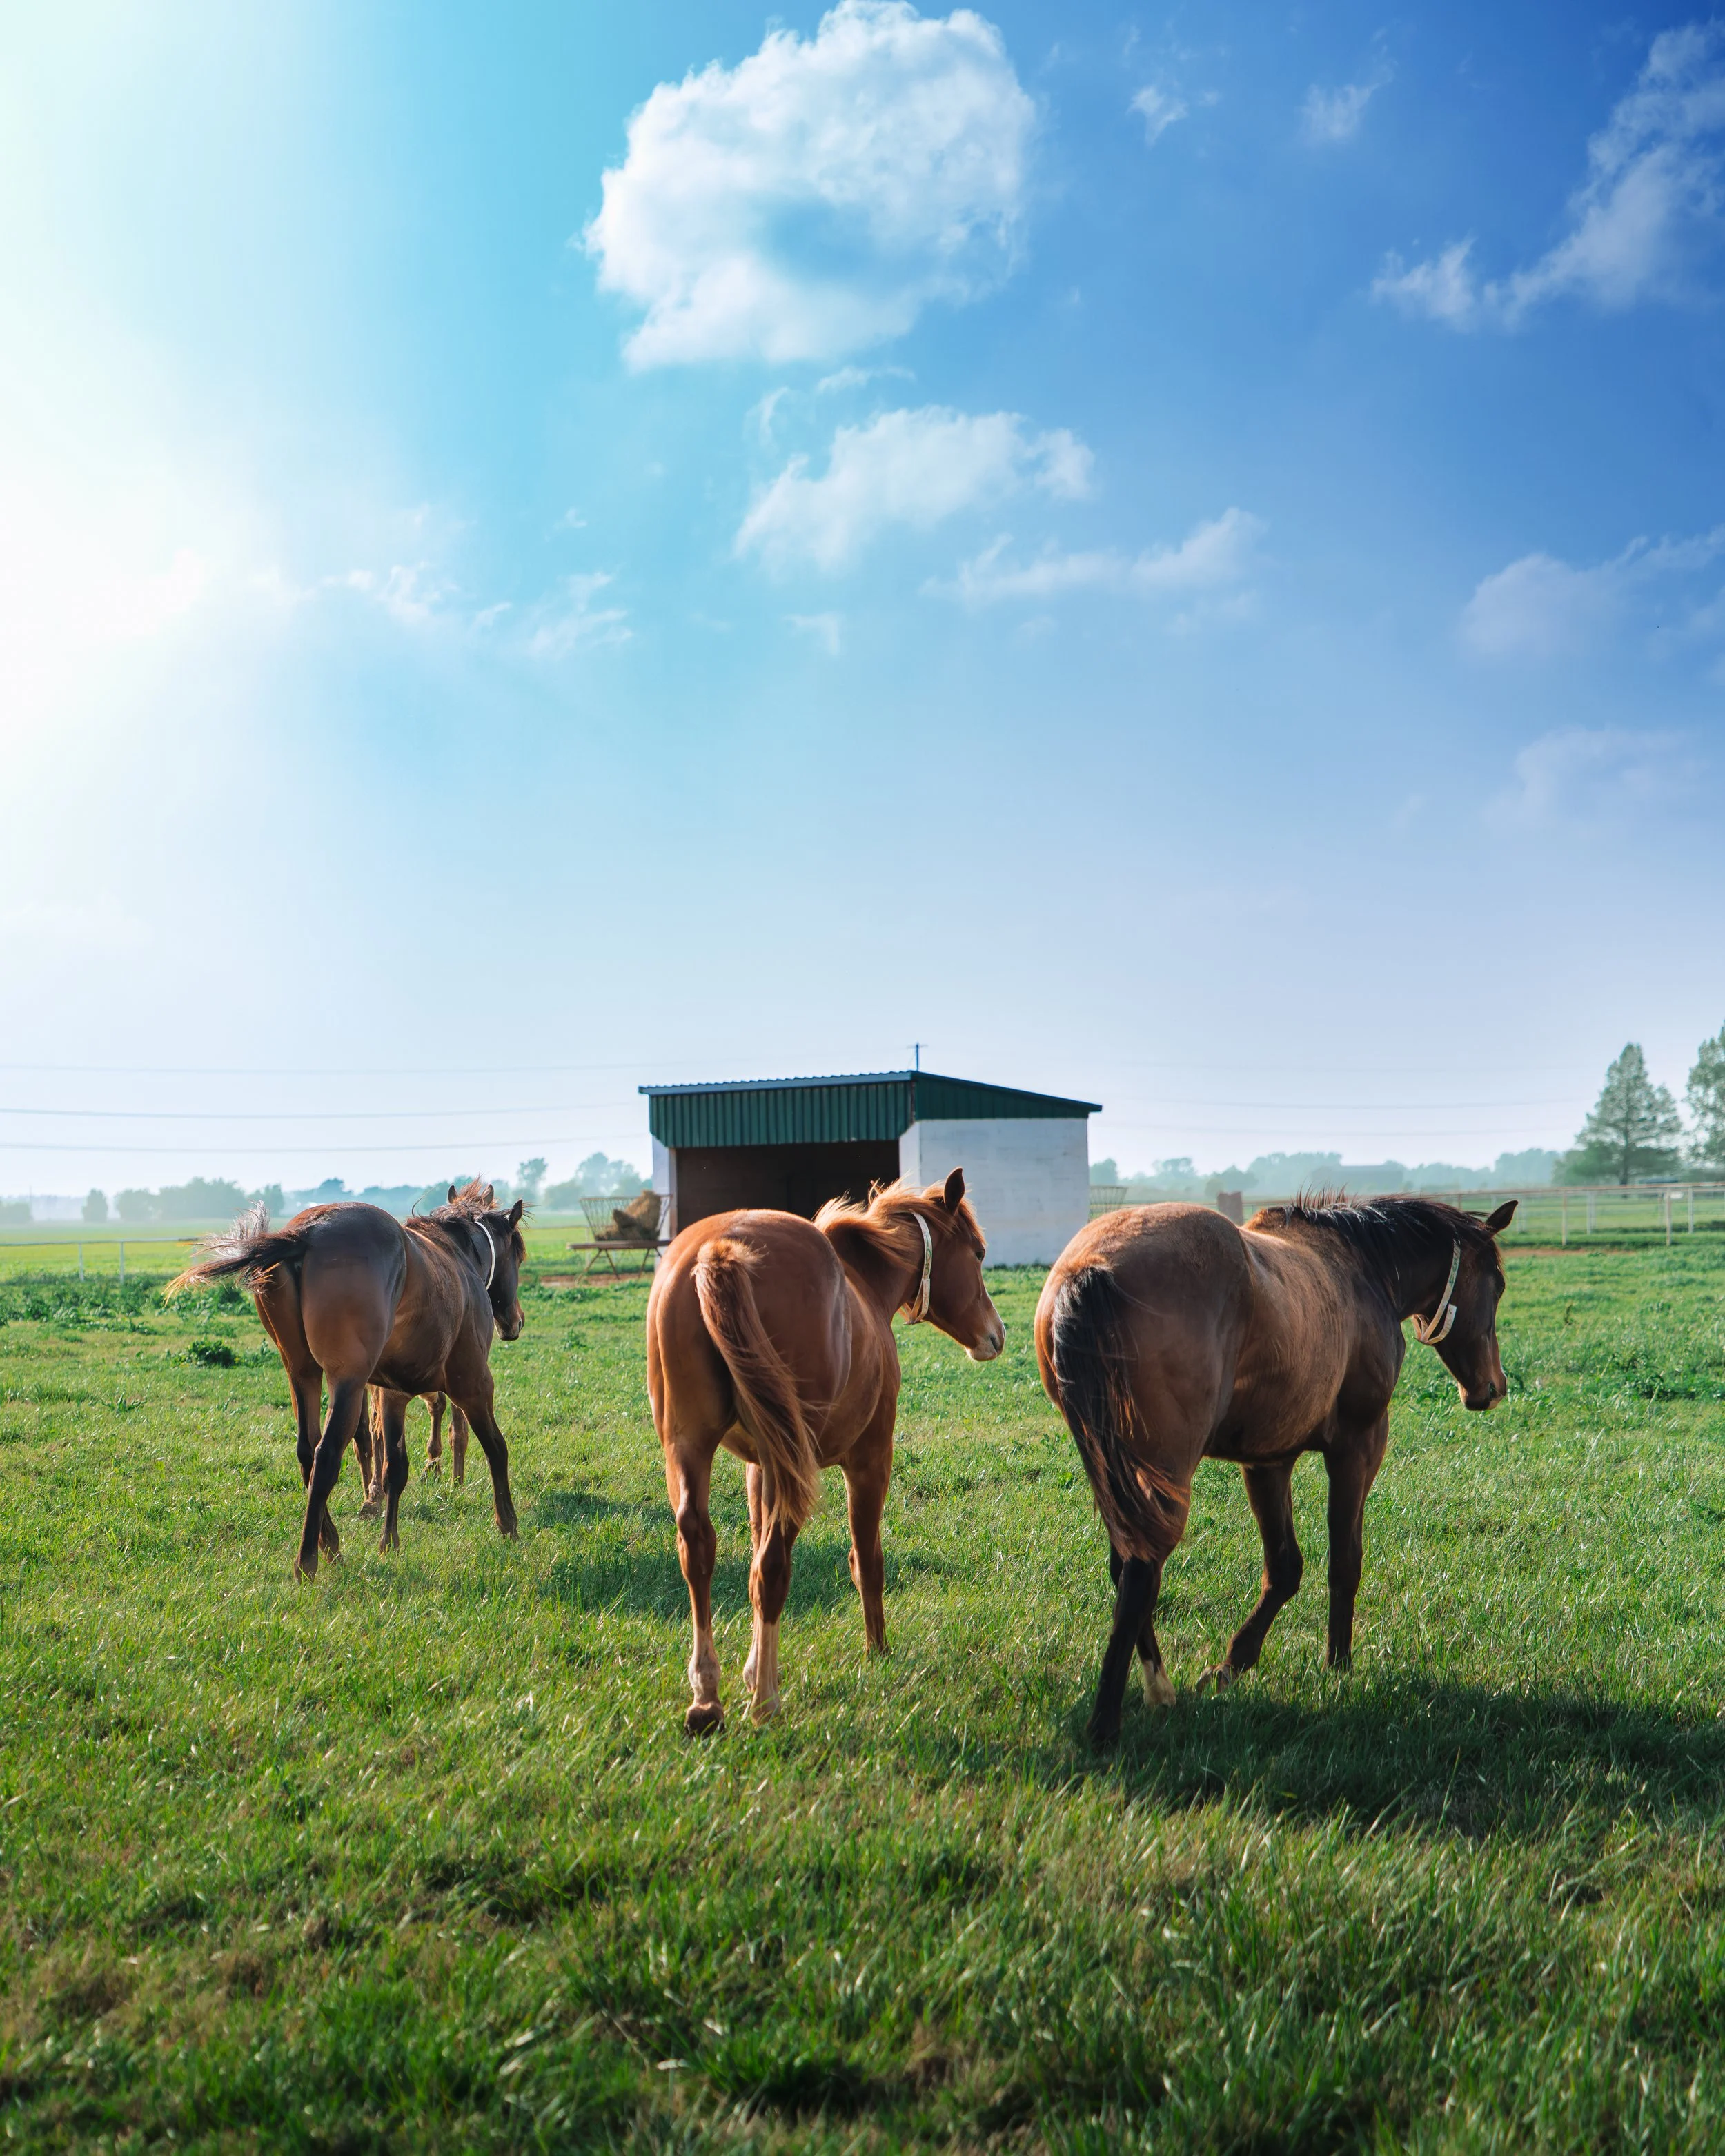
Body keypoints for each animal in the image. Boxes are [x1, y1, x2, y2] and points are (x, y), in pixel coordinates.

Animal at [171, 1181, 526, 1578]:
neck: (456, 1257)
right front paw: (508, 1525)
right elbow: (496, 1447)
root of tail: (306, 1234)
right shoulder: (474, 1385)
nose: (515, 1321)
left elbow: (395, 1468)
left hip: (303, 1374)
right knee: (326, 1455)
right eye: (518, 1254)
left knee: (307, 1452)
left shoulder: (392, 1394)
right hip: (349, 1383)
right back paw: (308, 1560)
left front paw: (390, 1543)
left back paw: (330, 1544)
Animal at [646, 1168, 1004, 1735]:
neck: (864, 1285)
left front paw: (754, 1667)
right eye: (978, 1253)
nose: (996, 1335)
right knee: (772, 1566)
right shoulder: (869, 1461)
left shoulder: (760, 1468)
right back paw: (764, 1703)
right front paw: (877, 1650)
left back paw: (707, 1697)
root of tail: (719, 1251)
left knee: (700, 1548)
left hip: (689, 1445)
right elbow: (866, 1559)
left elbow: (751, 1551)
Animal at [1034, 1193, 1516, 1749]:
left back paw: (1158, 1688)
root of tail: (1093, 1268)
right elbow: (1343, 1561)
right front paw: (1338, 1664)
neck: (1360, 1268)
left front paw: (1232, 1664)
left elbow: (1284, 1566)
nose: (1492, 1388)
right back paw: (1109, 1721)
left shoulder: (1267, 1462)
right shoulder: (1358, 1446)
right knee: (1140, 1572)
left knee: (1128, 1564)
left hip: (1115, 1469)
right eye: (1496, 1286)